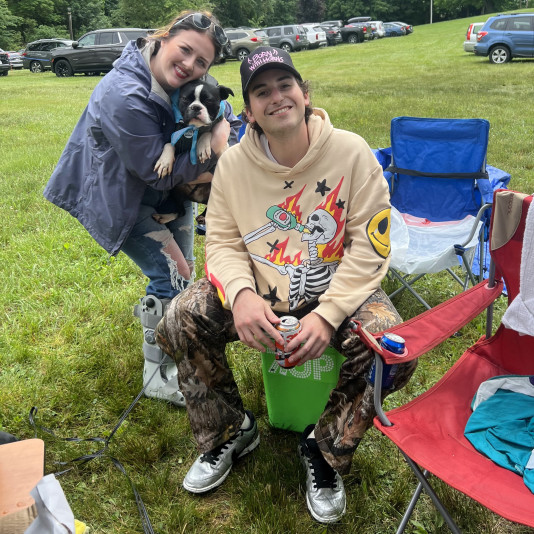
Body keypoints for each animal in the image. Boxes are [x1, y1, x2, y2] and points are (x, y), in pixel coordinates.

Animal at [153, 80, 234, 225]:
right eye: (185, 99)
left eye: (208, 100)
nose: (195, 107)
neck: (193, 129)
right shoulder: (174, 135)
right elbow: (169, 144)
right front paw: (165, 162)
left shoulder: (223, 147)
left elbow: (208, 132)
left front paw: (202, 146)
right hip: (175, 190)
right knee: (181, 212)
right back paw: (164, 217)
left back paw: (203, 217)